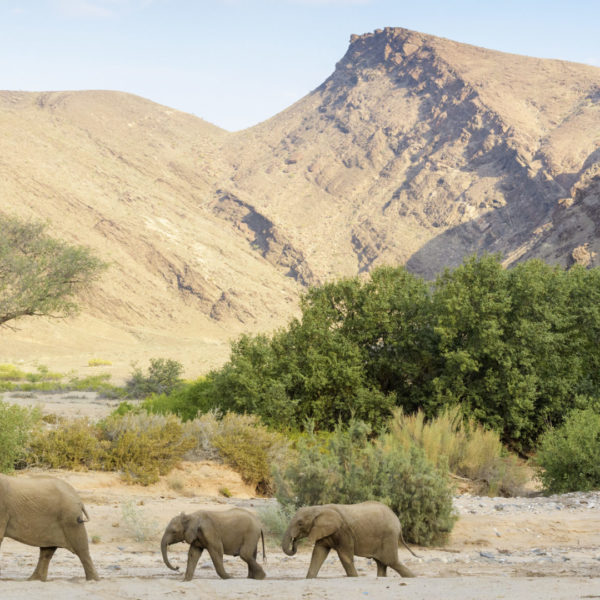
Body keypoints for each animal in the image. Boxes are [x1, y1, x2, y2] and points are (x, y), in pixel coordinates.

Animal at [282, 500, 418, 580]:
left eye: (300, 523)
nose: (294, 541)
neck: (319, 509)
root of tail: (398, 522)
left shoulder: (343, 532)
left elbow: (345, 556)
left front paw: (354, 577)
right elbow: (318, 553)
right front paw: (309, 579)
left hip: (388, 537)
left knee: (391, 561)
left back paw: (413, 577)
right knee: (382, 563)